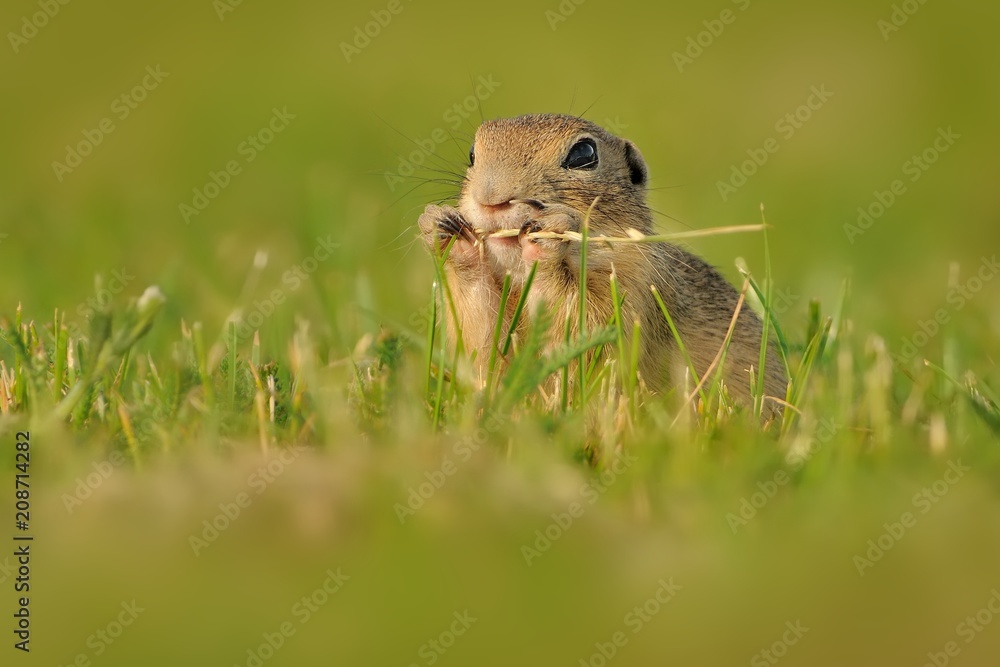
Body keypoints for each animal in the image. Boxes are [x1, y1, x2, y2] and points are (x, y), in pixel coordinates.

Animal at [418, 113, 786, 415]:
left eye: (583, 155)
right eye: (472, 154)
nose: (490, 199)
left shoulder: (636, 287)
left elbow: (591, 333)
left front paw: (547, 235)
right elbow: (482, 348)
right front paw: (447, 232)